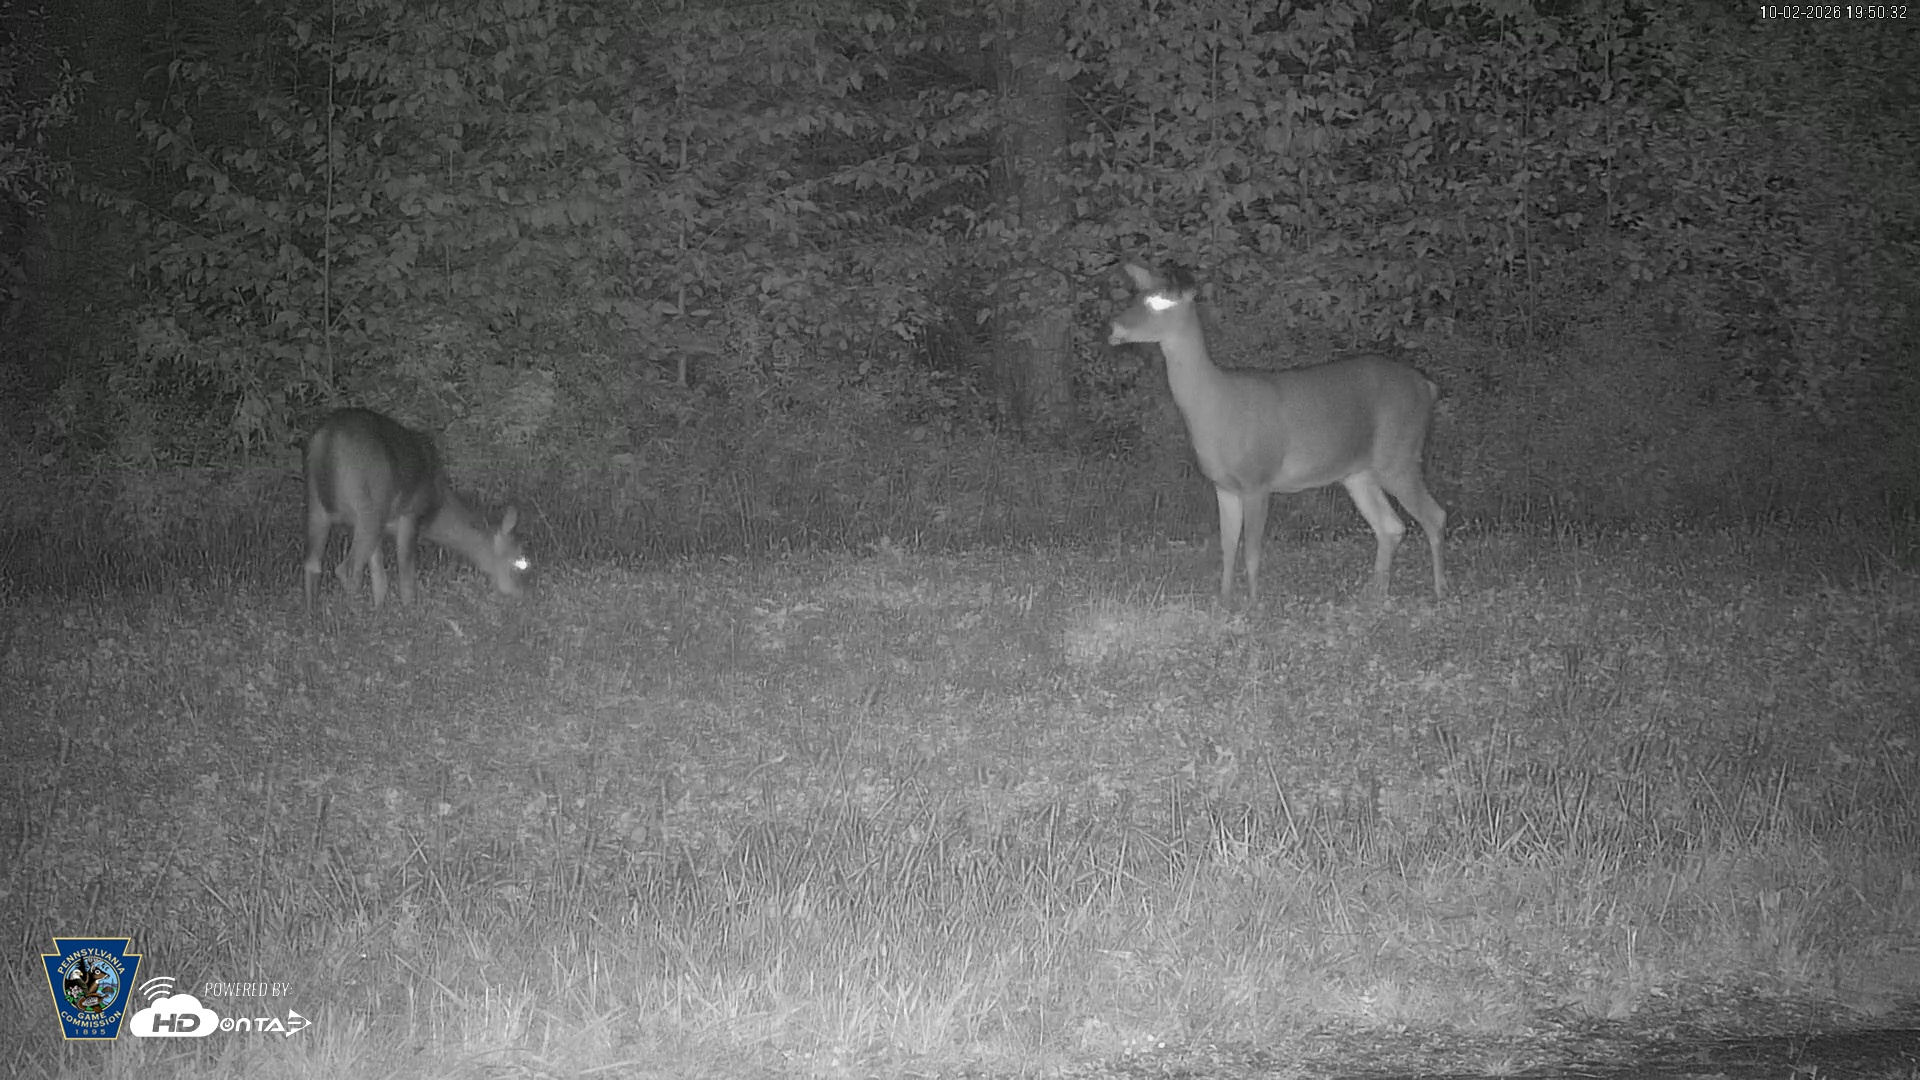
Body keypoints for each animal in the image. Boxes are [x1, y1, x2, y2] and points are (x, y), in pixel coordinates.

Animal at [303, 408, 528, 610]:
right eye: (518, 561)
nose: (520, 594)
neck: (438, 508)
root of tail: (328, 437)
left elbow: (379, 578)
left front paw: (379, 611)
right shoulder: (411, 514)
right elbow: (406, 574)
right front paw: (408, 612)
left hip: (317, 504)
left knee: (312, 564)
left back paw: (312, 617)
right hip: (369, 507)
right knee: (348, 569)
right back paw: (354, 615)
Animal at [1108, 263, 1447, 604]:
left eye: (1161, 302)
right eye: (1136, 295)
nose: (1114, 326)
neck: (1216, 407)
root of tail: (1428, 386)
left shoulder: (1258, 479)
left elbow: (1252, 551)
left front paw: (1254, 604)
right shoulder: (1224, 486)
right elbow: (1227, 547)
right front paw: (1224, 601)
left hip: (1400, 454)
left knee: (1435, 516)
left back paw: (1440, 591)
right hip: (1358, 472)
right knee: (1391, 526)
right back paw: (1376, 595)